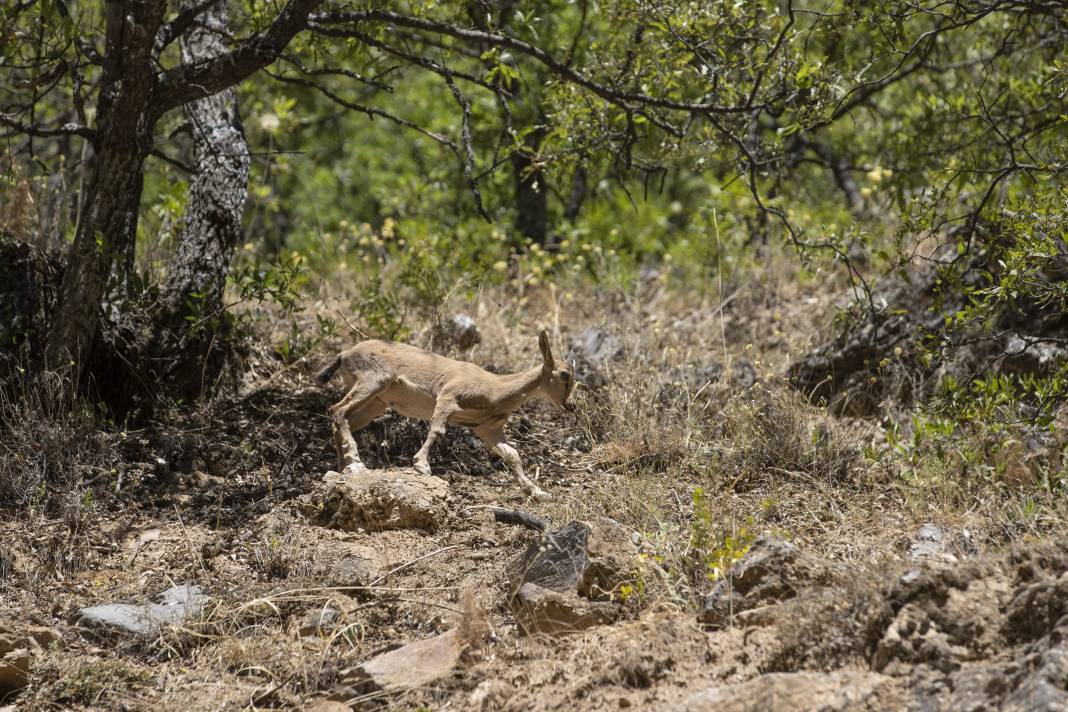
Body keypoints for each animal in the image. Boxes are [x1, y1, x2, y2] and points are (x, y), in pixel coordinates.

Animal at [311, 330, 572, 499]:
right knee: (337, 410)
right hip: (372, 382)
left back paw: (343, 466)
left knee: (341, 418)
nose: (569, 406)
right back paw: (355, 461)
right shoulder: (448, 398)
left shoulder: (486, 428)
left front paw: (538, 492)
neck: (495, 388)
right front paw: (421, 465)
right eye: (565, 374)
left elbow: (513, 455)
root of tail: (345, 354)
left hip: (376, 402)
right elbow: (437, 430)